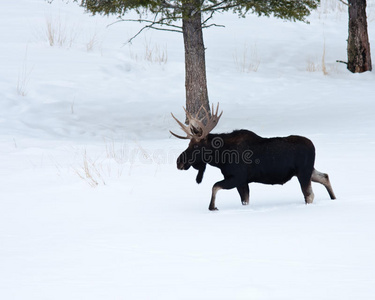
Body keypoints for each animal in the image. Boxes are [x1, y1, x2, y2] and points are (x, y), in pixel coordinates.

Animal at [172, 103, 336, 211]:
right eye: (188, 144)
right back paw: (334, 198)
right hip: (306, 170)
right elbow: (244, 200)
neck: (221, 158)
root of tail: (313, 146)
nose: (179, 162)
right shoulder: (242, 182)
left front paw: (212, 207)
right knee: (325, 176)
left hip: (303, 172)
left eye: (196, 146)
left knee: (309, 194)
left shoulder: (238, 177)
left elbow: (214, 186)